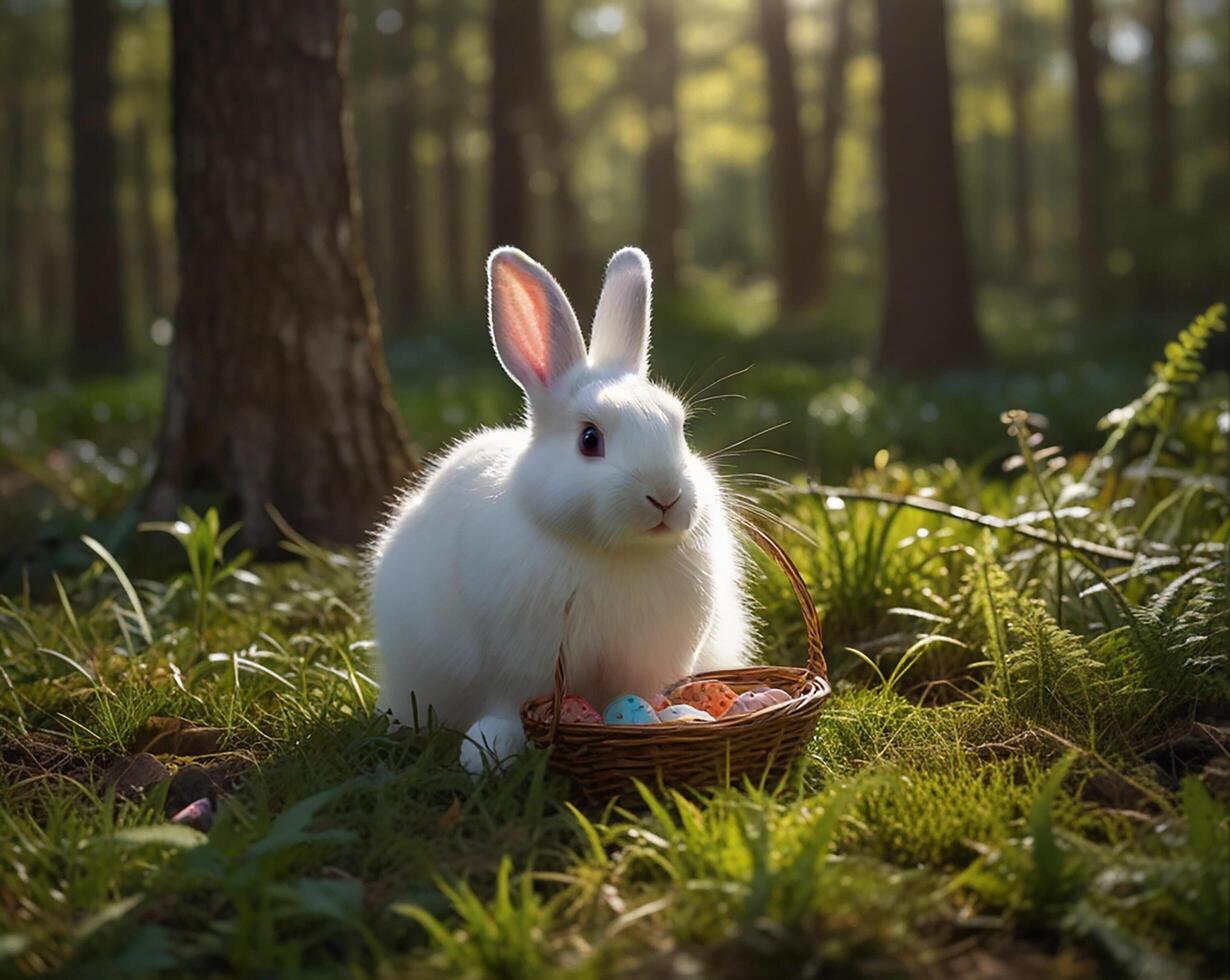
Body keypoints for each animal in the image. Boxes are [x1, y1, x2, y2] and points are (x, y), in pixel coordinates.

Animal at [366, 244, 747, 772]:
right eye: (589, 440)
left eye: (679, 430)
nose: (665, 495)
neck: (610, 552)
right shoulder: (518, 663)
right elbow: (507, 703)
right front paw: (489, 752)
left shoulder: (648, 661)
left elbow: (640, 693)